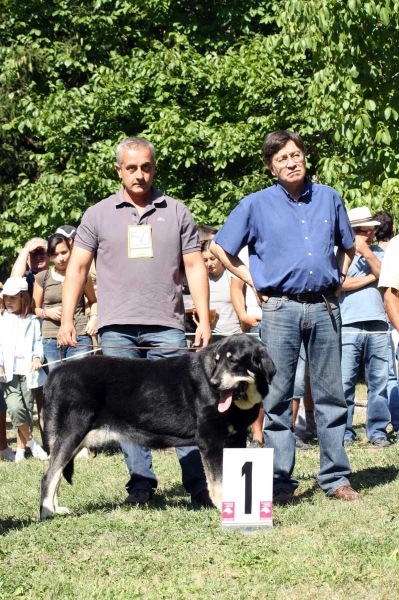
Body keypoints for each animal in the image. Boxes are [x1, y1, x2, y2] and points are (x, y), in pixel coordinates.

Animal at [40, 332, 276, 520]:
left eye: (234, 361)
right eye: (218, 361)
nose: (214, 384)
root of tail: (54, 374)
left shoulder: (236, 438)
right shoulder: (210, 440)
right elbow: (217, 480)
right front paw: (223, 505)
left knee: (56, 473)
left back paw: (56, 508)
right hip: (72, 433)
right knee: (49, 475)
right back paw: (47, 512)